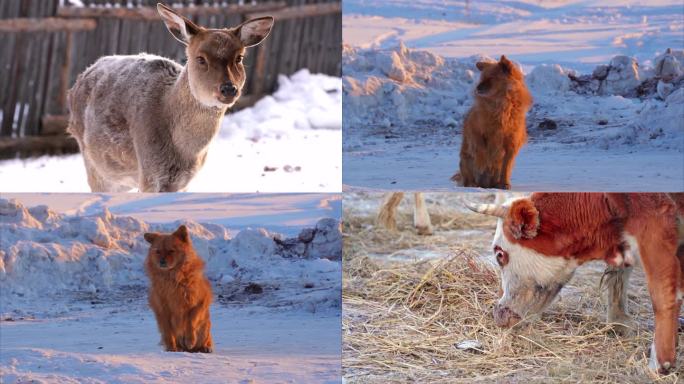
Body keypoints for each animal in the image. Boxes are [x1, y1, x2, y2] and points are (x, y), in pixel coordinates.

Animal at [67, 3, 274, 192]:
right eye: (200, 58)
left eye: (239, 58)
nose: (229, 89)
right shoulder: (150, 173)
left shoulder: (184, 182)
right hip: (94, 165)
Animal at [146, 225, 215, 354]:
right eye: (157, 251)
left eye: (171, 251)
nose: (161, 261)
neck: (172, 277)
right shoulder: (162, 310)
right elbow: (168, 331)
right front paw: (171, 348)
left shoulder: (199, 303)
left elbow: (190, 321)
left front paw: (190, 340)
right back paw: (178, 348)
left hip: (205, 327)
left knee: (206, 339)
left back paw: (205, 347)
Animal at [454, 54, 536, 190]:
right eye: (482, 78)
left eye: (491, 78)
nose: (477, 88)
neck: (501, 105)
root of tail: (485, 184)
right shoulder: (474, 130)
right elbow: (480, 147)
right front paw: (482, 161)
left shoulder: (512, 143)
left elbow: (506, 166)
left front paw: (505, 183)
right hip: (465, 160)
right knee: (468, 177)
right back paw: (472, 184)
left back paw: (498, 184)